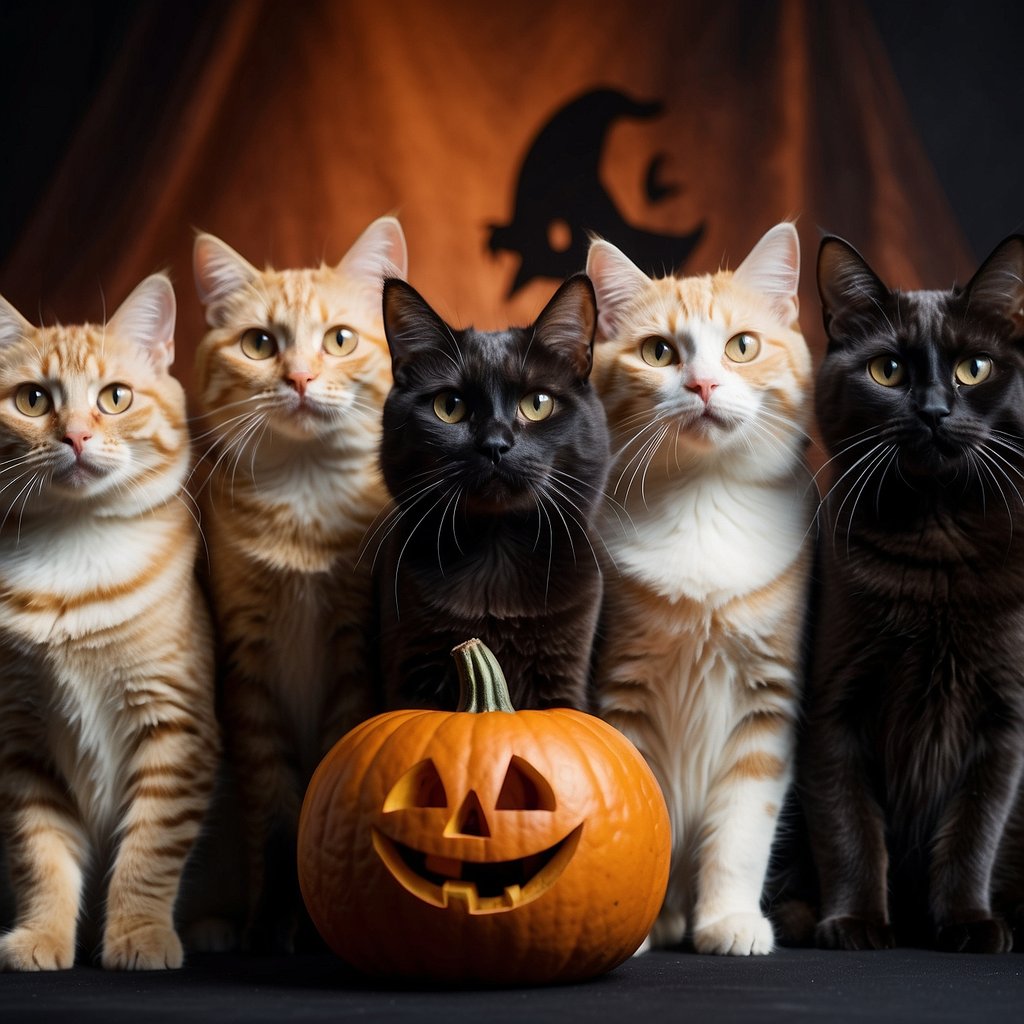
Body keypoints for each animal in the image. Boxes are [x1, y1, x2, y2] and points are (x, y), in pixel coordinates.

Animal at [0, 276, 218, 970]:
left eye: (114, 397)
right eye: (33, 399)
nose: (74, 436)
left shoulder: (174, 726)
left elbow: (149, 851)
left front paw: (138, 934)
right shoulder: (22, 743)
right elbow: (40, 854)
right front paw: (41, 935)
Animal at [194, 216, 407, 950]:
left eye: (339, 339)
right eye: (260, 343)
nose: (301, 378)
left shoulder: (352, 655)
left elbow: (323, 790)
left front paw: (313, 928)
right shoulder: (247, 668)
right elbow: (275, 809)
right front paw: (271, 924)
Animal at [374, 274, 606, 712]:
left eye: (538, 404)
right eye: (449, 406)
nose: (495, 444)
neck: (497, 553)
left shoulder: (563, 671)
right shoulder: (412, 665)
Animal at [589, 222, 811, 950]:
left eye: (741, 346)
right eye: (659, 352)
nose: (705, 383)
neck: (701, 496)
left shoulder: (766, 703)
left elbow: (741, 829)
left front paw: (729, 920)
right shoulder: (621, 694)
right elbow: (641, 809)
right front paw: (641, 921)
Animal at [798, 232, 1024, 950]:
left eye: (974, 368)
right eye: (888, 371)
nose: (933, 412)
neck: (936, 547)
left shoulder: (1006, 723)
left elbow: (974, 831)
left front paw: (968, 923)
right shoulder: (833, 708)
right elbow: (848, 825)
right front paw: (856, 922)